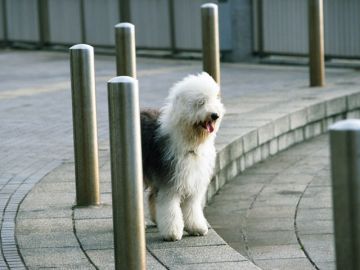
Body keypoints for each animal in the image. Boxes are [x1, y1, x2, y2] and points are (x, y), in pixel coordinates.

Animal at [141, 71, 224, 240]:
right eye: (201, 102)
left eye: (214, 99)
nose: (215, 115)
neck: (190, 140)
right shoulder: (169, 180)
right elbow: (170, 207)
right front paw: (172, 233)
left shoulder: (193, 178)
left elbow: (192, 207)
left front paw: (197, 228)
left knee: (152, 196)